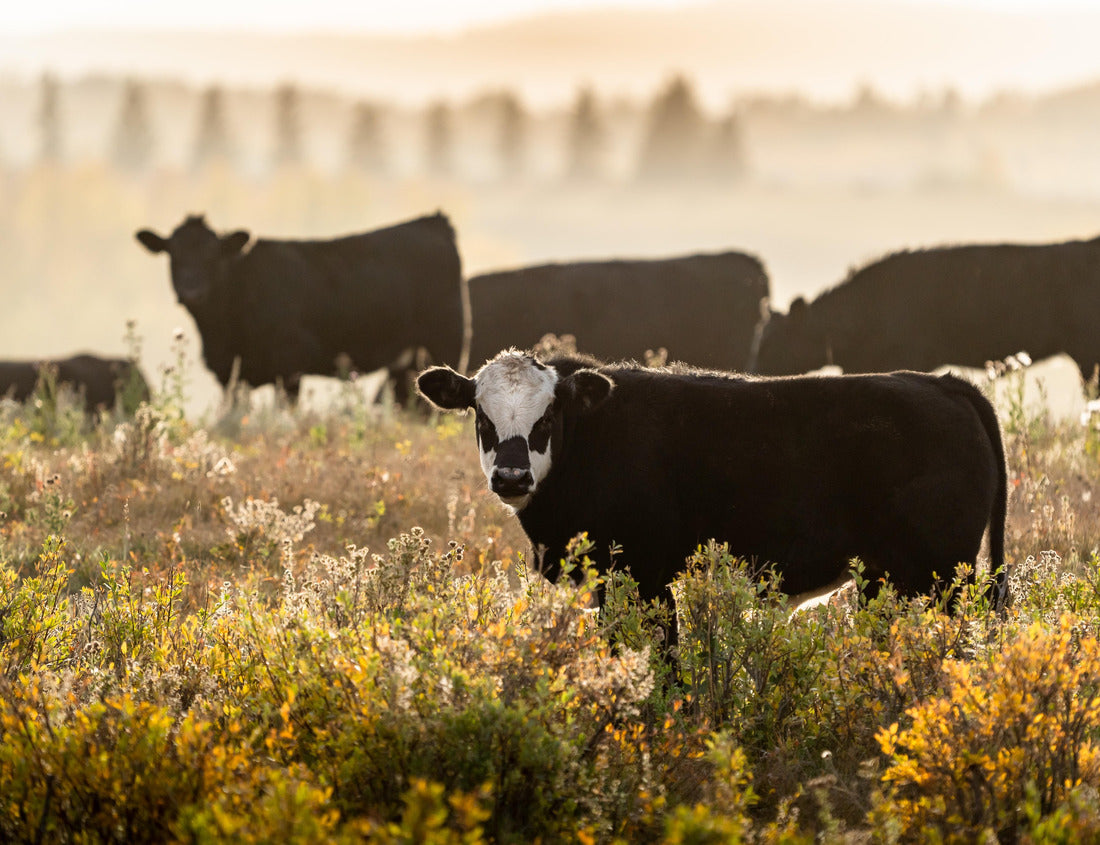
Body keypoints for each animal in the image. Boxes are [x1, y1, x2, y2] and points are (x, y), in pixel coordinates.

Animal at [135, 212, 466, 405]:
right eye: (173, 254)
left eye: (213, 255)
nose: (192, 291)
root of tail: (432, 220)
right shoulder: (229, 376)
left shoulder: (290, 365)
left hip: (446, 341)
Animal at [418, 350, 1008, 659]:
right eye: (482, 415)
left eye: (546, 418)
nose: (511, 475)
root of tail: (942, 384)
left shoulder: (642, 574)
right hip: (885, 579)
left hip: (939, 573)